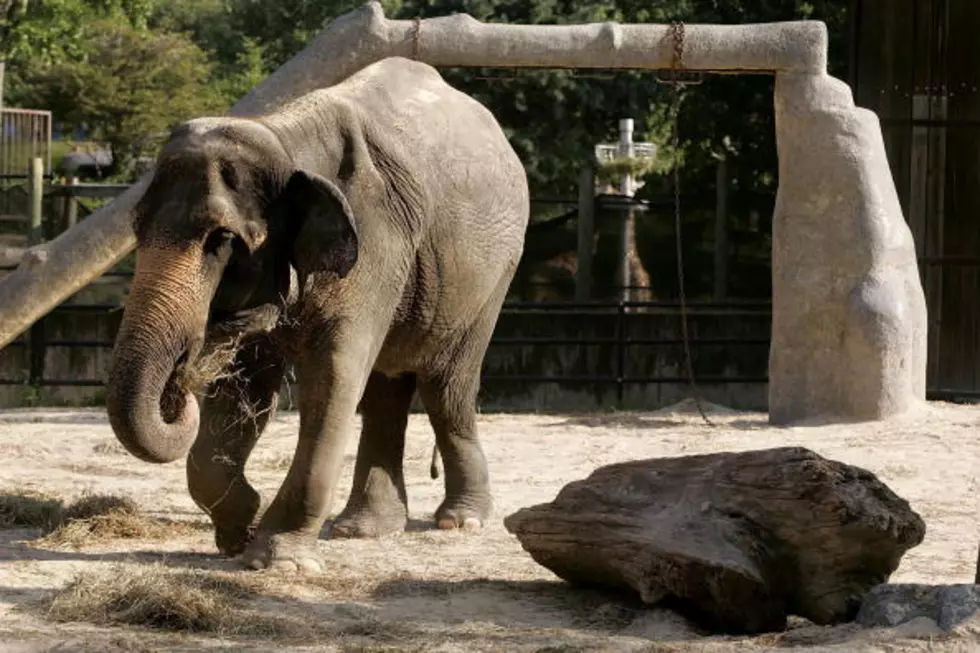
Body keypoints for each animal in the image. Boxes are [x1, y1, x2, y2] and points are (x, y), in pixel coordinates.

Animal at [104, 56, 529, 572]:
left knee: (445, 386)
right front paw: (240, 532)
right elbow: (246, 384)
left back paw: (460, 521)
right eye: (136, 228)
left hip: (493, 277)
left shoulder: (375, 240)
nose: (179, 390)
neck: (283, 138)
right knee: (386, 388)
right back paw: (362, 529)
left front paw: (278, 561)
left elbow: (333, 376)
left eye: (220, 239)